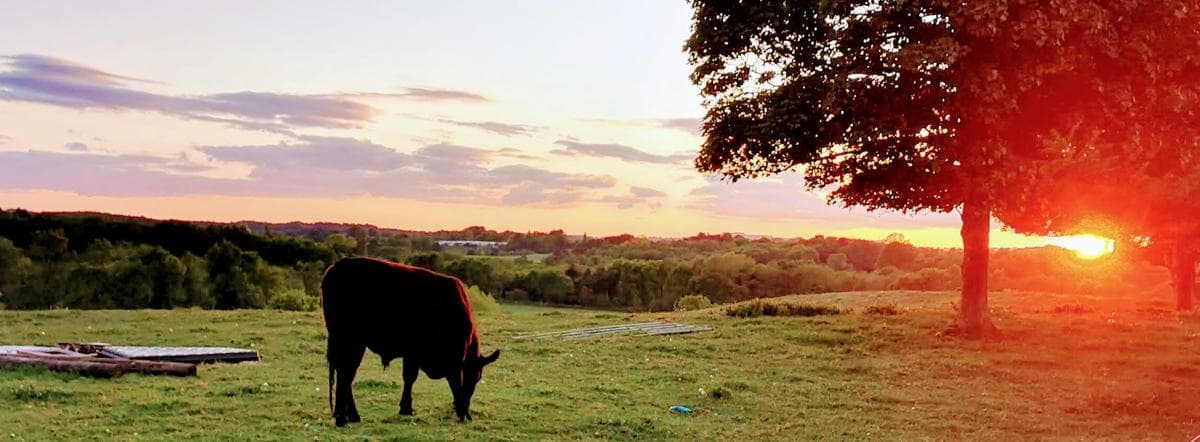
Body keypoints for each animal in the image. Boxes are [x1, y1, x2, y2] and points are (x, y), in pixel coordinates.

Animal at [321, 257, 499, 427]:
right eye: (476, 377)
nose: (466, 407)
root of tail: (337, 266)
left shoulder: (412, 354)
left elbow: (409, 378)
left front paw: (406, 408)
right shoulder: (454, 358)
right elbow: (454, 383)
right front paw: (464, 414)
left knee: (346, 375)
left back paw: (350, 415)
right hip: (351, 341)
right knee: (346, 374)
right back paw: (342, 418)